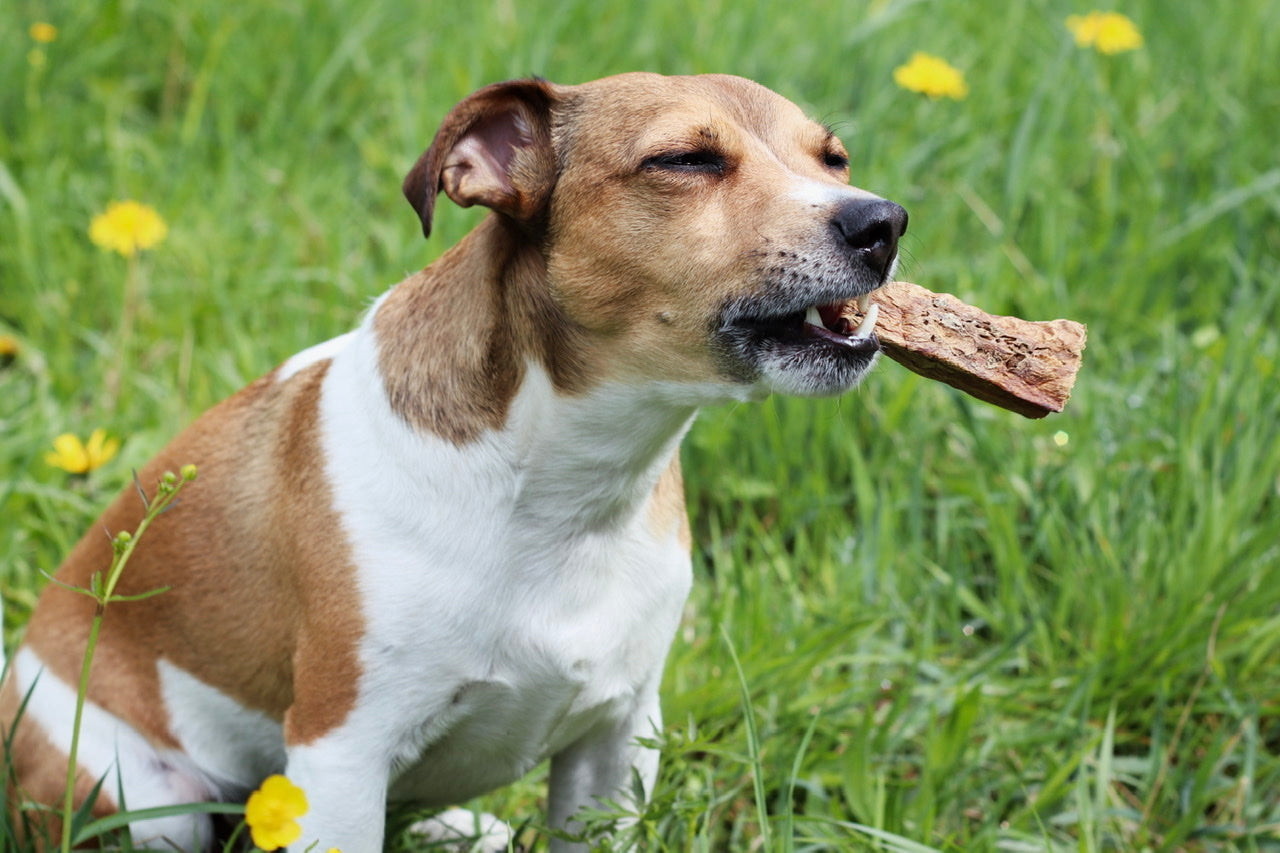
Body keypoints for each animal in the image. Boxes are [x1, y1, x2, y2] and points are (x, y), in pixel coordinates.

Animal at [0, 74, 906, 850]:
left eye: (834, 158)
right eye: (685, 159)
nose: (883, 222)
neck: (564, 492)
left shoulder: (615, 745)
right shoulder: (339, 751)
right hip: (151, 801)